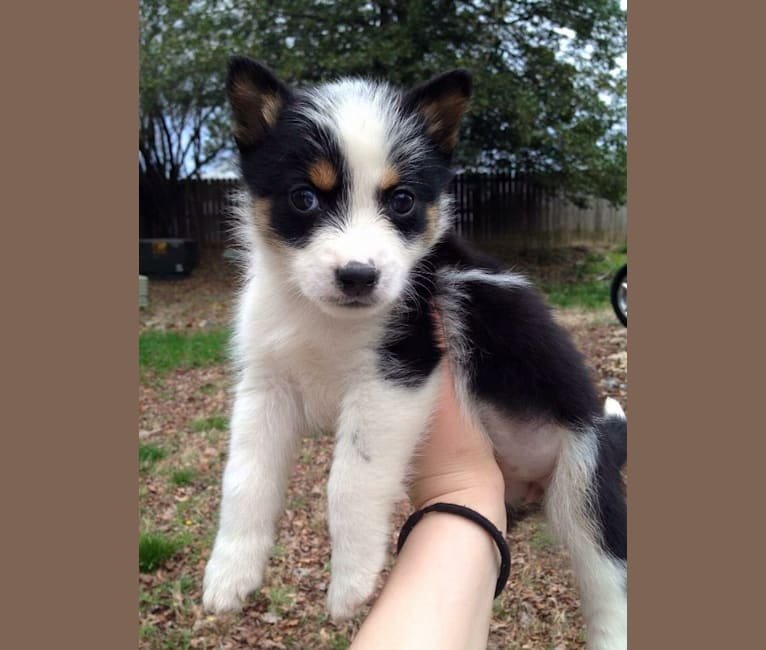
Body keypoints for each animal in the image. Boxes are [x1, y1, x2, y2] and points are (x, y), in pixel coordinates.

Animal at [204, 57, 632, 648]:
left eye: (402, 200)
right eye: (304, 197)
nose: (358, 277)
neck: (321, 316)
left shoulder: (397, 373)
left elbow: (350, 480)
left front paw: (351, 583)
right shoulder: (266, 385)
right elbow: (244, 478)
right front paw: (229, 575)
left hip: (585, 481)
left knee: (608, 583)